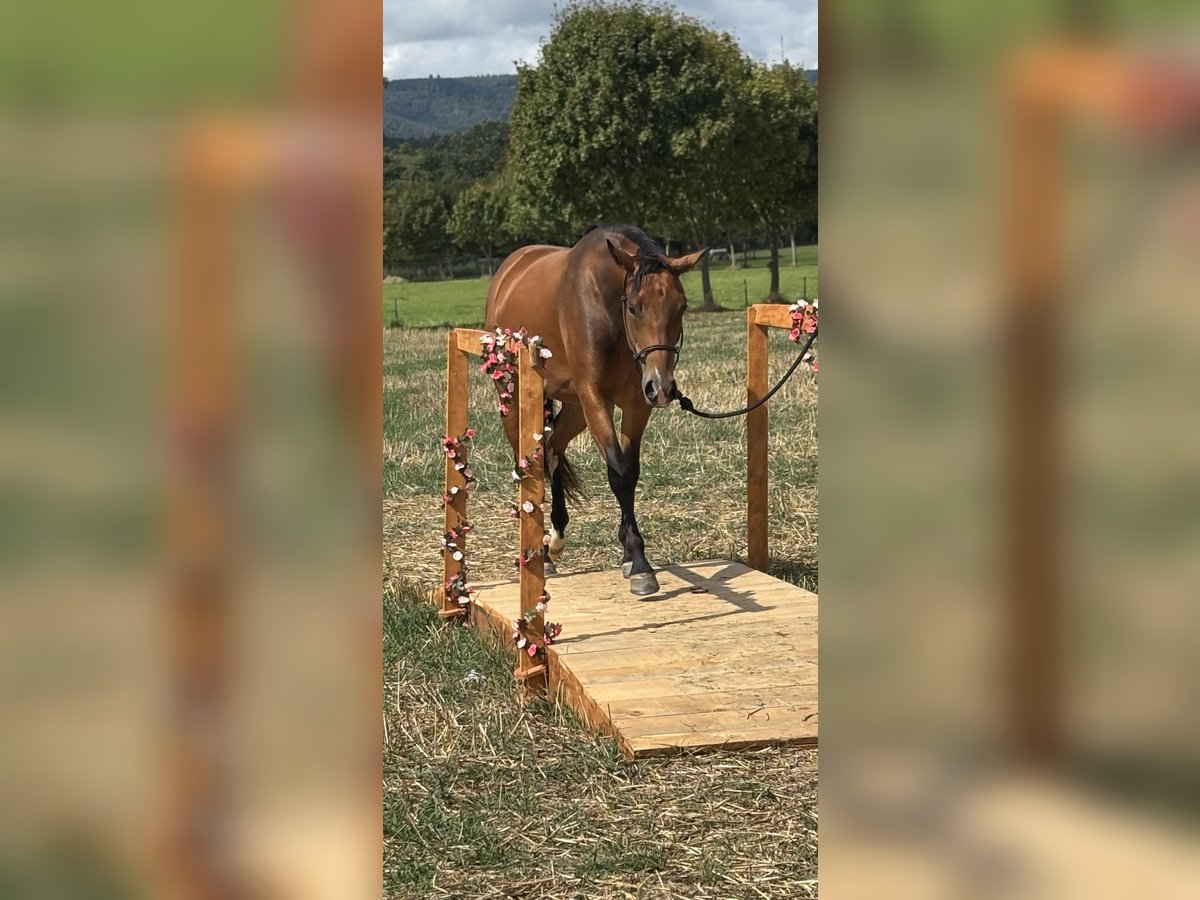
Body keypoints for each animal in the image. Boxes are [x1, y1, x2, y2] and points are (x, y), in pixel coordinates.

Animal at [484, 225, 707, 595]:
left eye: (682, 306)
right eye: (634, 308)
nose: (662, 388)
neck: (606, 304)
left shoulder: (635, 404)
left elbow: (630, 472)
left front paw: (631, 554)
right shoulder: (596, 399)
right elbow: (618, 472)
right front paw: (639, 563)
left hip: (574, 408)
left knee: (552, 448)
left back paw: (555, 537)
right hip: (515, 398)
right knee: (527, 462)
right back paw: (539, 552)